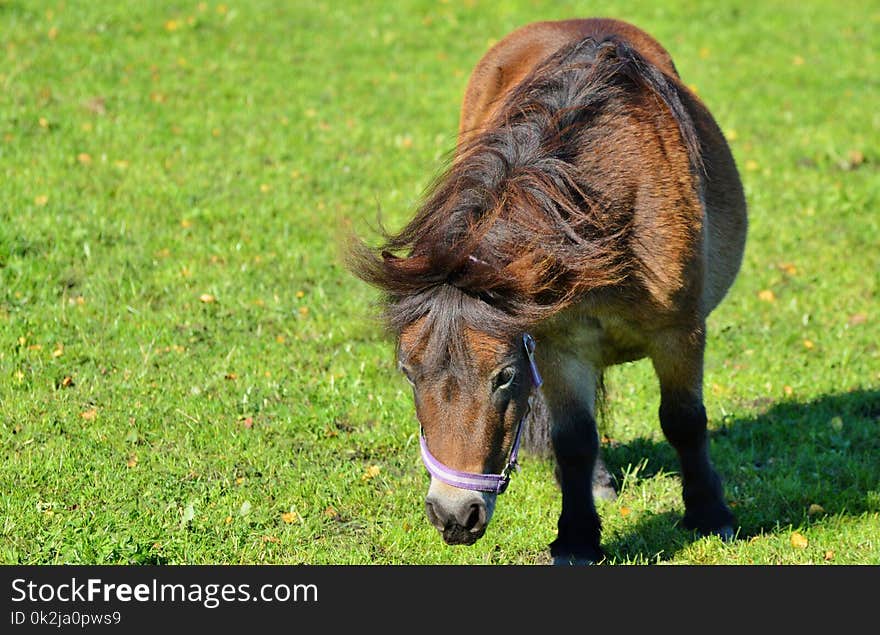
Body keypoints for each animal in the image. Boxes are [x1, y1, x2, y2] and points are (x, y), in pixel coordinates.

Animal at [348, 17, 744, 564]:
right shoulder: (558, 345)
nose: (454, 516)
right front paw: (578, 537)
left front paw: (710, 514)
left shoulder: (679, 332)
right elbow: (574, 438)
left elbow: (684, 420)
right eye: (408, 373)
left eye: (504, 377)